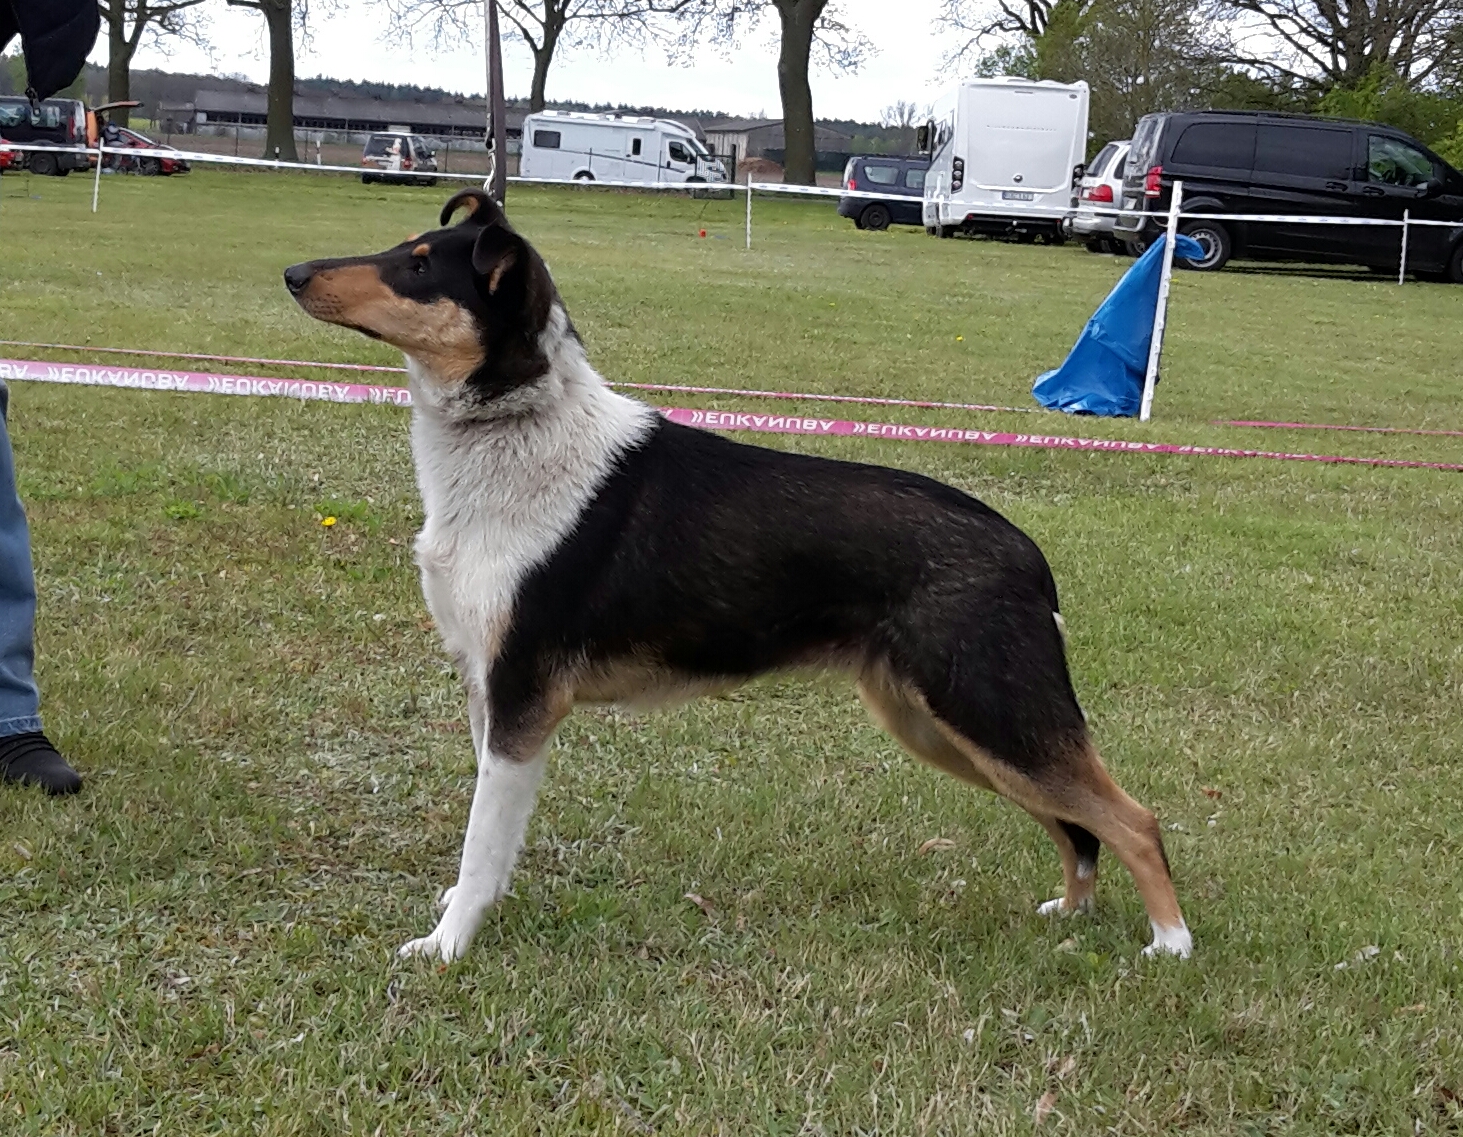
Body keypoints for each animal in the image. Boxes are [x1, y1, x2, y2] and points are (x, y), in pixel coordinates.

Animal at [282, 190, 1187, 959]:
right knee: (1077, 826)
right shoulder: (488, 690)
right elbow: (493, 841)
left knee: (1133, 819)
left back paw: (1169, 945)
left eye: (418, 267)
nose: (292, 273)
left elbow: (478, 843)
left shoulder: (520, 696)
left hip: (991, 714)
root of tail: (1026, 553)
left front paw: (446, 947)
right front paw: (474, 916)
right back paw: (1070, 912)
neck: (510, 441)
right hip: (943, 724)